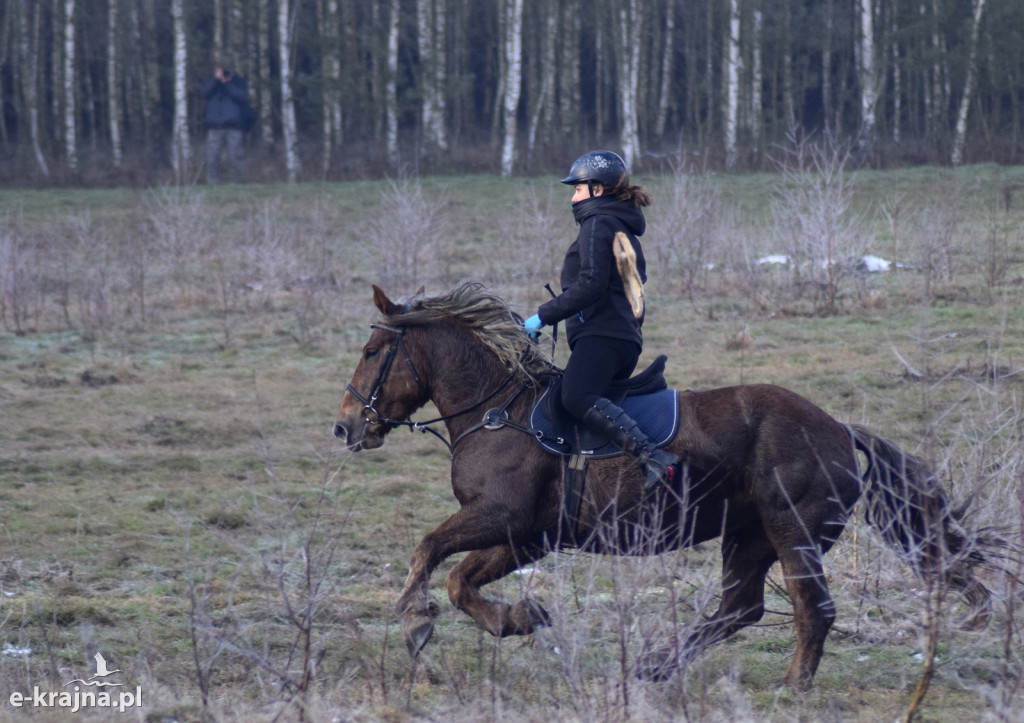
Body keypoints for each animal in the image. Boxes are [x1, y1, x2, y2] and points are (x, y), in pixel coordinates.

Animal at [333, 280, 991, 688]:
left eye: (371, 349)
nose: (345, 427)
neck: (499, 409)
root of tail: (839, 430)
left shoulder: (502, 517)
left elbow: (429, 553)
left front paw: (416, 624)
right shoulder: (525, 536)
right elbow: (459, 580)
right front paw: (519, 618)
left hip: (792, 531)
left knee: (811, 607)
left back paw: (792, 684)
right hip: (747, 535)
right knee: (740, 608)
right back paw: (653, 667)